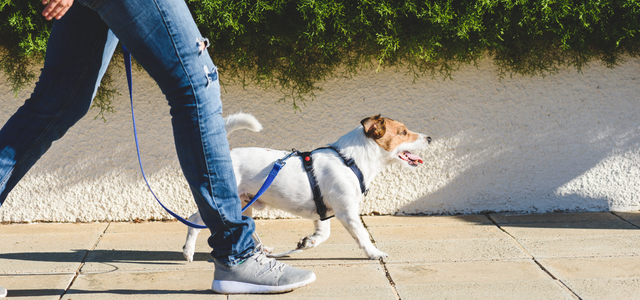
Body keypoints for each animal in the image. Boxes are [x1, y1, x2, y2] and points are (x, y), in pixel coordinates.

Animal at [182, 112, 432, 260]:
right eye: (403, 132)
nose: (430, 138)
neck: (350, 160)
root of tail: (226, 156)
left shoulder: (323, 212)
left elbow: (323, 235)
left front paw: (307, 242)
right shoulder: (347, 213)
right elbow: (362, 236)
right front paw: (374, 253)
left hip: (245, 203)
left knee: (246, 227)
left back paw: (262, 250)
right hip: (224, 203)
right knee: (194, 220)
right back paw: (188, 251)